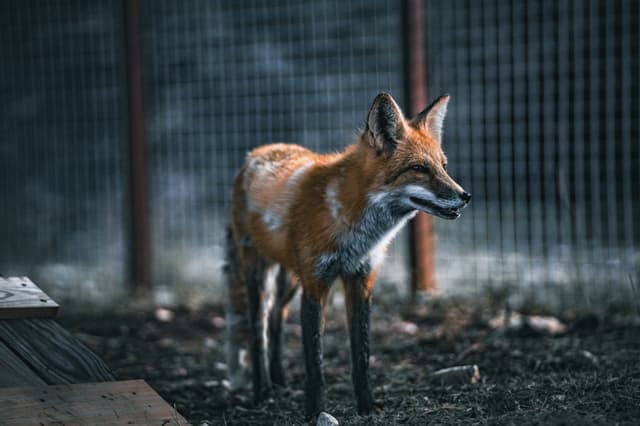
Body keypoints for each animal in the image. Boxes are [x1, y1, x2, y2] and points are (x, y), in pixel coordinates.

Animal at [225, 92, 470, 418]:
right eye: (419, 168)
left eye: (443, 166)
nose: (466, 196)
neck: (354, 227)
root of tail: (254, 153)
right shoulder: (315, 283)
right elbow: (315, 364)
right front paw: (315, 412)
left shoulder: (361, 279)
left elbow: (361, 355)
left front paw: (366, 405)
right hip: (260, 273)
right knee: (259, 328)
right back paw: (261, 390)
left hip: (290, 279)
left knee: (278, 318)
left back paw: (278, 379)